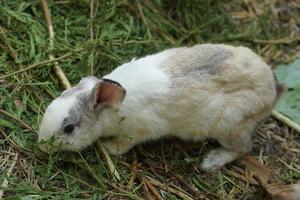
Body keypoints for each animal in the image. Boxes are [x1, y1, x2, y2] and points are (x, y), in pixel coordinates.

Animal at [38, 43, 278, 170]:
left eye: (69, 128)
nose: (41, 145)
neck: (109, 112)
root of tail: (270, 90)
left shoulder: (139, 131)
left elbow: (125, 144)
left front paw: (109, 148)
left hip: (230, 125)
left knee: (243, 148)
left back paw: (211, 161)